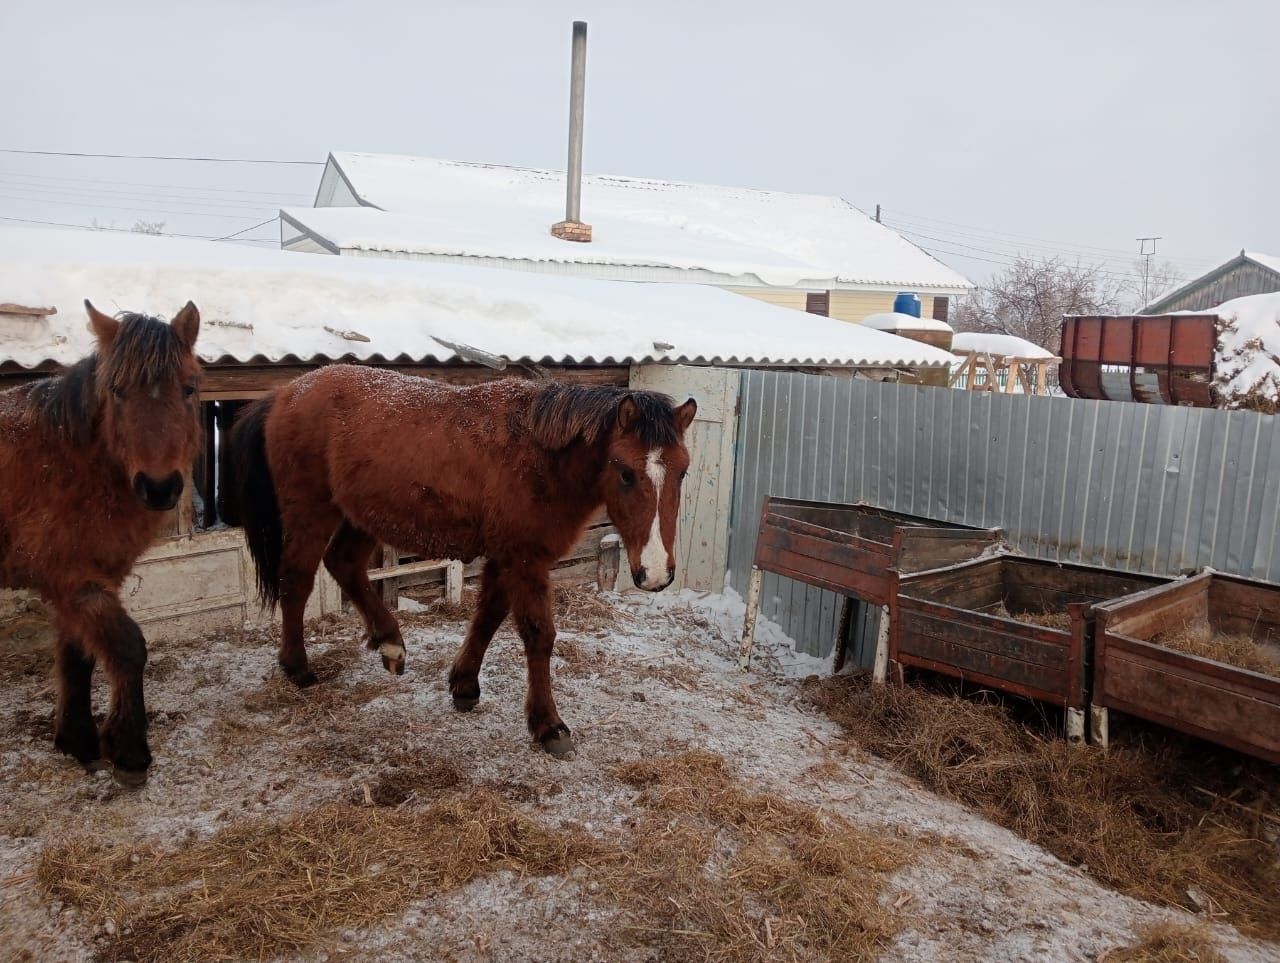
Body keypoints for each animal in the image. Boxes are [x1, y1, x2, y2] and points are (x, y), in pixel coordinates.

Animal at [0, 300, 200, 783]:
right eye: (117, 391)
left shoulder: (85, 581)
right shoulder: (72, 579)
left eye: (189, 388)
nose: (159, 487)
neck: (66, 463)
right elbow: (127, 647)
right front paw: (129, 751)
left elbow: (79, 656)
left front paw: (78, 742)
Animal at [225, 363, 696, 758]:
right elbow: (538, 636)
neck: (538, 454)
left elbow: (488, 616)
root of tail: (284, 394)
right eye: (625, 472)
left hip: (359, 516)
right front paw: (547, 724)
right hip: (312, 513)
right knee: (296, 581)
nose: (656, 573)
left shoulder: (507, 557)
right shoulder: (523, 558)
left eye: (683, 471)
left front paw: (465, 685)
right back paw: (298, 668)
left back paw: (390, 643)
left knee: (344, 565)